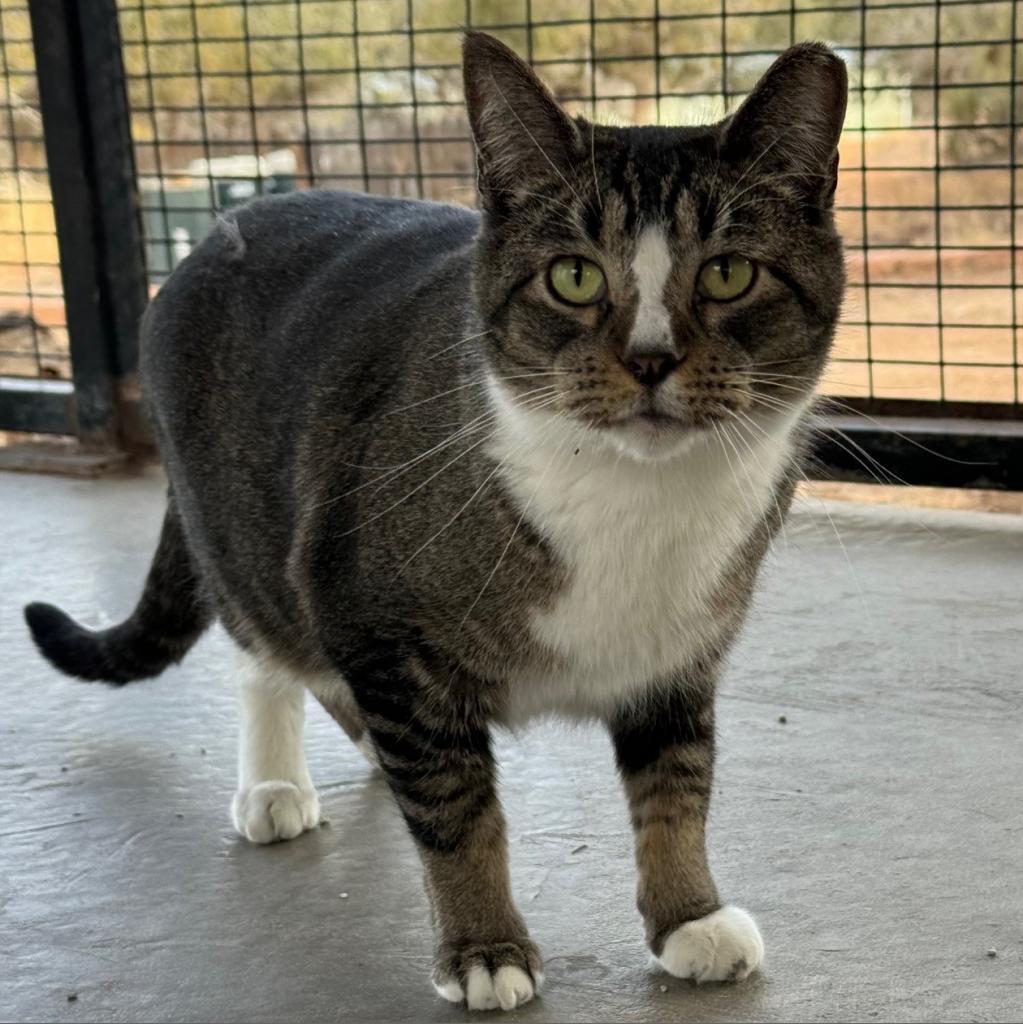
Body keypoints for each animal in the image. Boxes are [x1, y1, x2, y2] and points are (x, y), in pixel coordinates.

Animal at [28, 29, 851, 1007]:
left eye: (727, 272)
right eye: (574, 276)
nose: (650, 360)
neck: (633, 502)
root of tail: (211, 236)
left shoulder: (677, 658)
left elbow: (676, 788)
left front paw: (689, 915)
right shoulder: (373, 618)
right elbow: (460, 811)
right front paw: (484, 946)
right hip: (247, 534)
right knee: (265, 650)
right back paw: (274, 782)